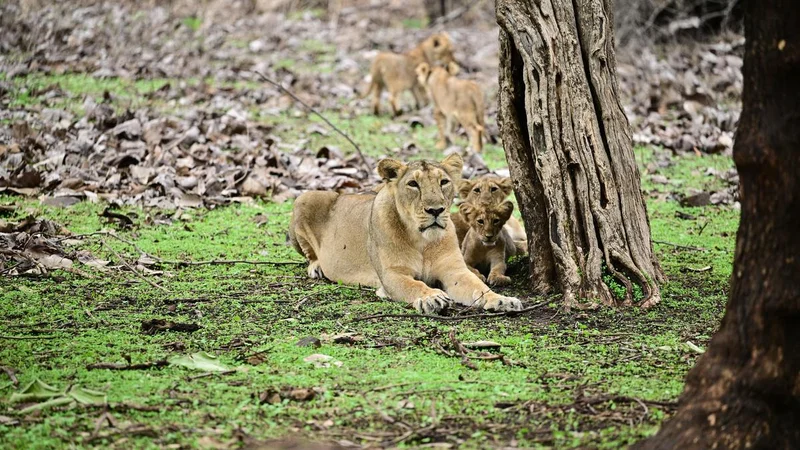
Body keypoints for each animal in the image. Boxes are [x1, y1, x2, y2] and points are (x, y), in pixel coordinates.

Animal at [288, 154, 523, 314]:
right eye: (413, 184)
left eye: (443, 182)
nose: (436, 210)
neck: (422, 241)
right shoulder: (392, 275)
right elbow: (414, 285)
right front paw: (431, 297)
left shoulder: (454, 271)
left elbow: (478, 286)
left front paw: (501, 299)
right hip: (305, 198)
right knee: (309, 254)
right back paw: (317, 267)